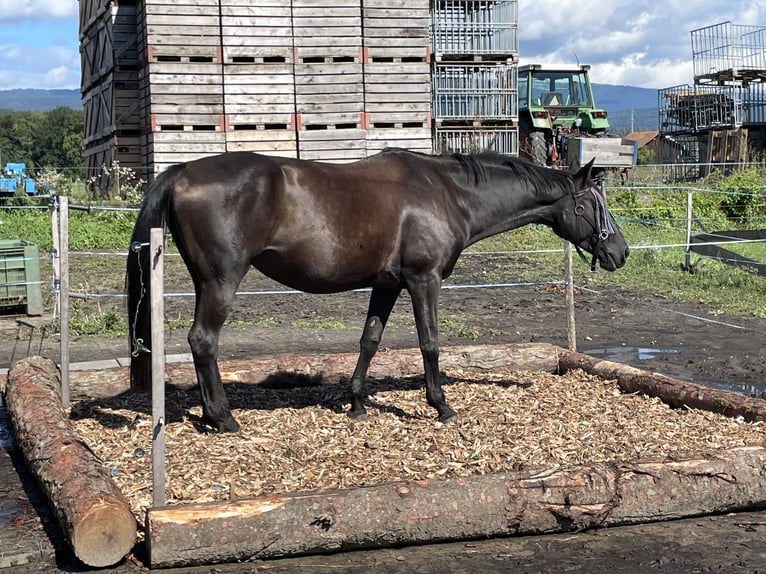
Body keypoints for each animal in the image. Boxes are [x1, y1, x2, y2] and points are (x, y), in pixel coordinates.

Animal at [127, 148, 629, 432]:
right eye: (592, 204)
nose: (619, 252)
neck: (448, 193)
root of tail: (184, 170)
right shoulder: (424, 280)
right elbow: (429, 343)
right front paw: (441, 406)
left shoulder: (387, 286)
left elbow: (369, 341)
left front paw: (356, 404)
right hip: (222, 281)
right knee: (203, 341)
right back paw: (223, 418)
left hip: (205, 282)